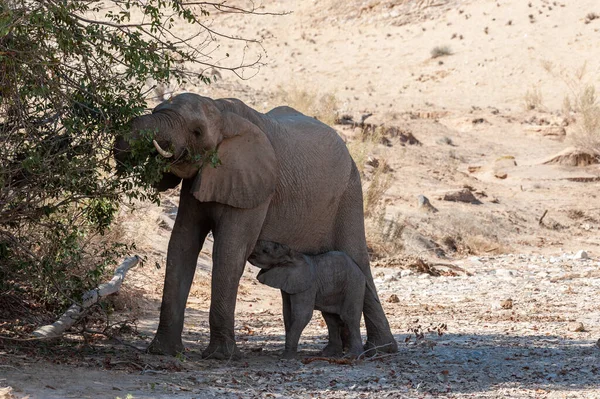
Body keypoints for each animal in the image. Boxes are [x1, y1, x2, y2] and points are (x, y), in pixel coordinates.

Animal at [114, 93, 396, 360]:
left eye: (197, 131)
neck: (221, 111)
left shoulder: (255, 186)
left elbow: (230, 251)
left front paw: (221, 356)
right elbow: (182, 245)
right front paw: (163, 352)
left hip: (349, 192)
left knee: (357, 256)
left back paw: (379, 350)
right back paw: (342, 351)